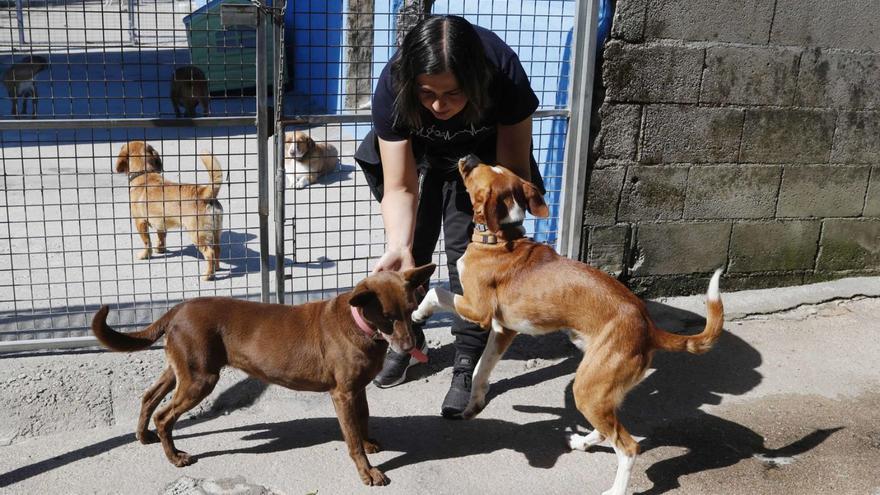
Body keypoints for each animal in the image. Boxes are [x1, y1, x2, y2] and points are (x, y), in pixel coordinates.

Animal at [91, 266, 434, 486]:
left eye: (411, 310)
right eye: (387, 318)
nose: (410, 346)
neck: (359, 325)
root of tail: (177, 309)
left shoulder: (357, 390)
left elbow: (362, 419)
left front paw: (368, 442)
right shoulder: (343, 394)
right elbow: (351, 439)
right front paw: (368, 472)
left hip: (184, 370)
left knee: (150, 396)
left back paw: (143, 435)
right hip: (201, 379)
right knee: (164, 416)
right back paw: (175, 457)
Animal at [114, 142, 223, 282]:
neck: (144, 174)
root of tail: (204, 193)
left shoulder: (140, 222)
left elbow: (146, 242)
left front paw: (145, 254)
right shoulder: (160, 223)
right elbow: (161, 237)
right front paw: (160, 249)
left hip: (197, 234)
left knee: (210, 253)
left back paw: (208, 275)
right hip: (216, 232)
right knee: (217, 249)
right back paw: (217, 268)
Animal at [410, 155, 724, 495]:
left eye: (478, 171)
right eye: (493, 166)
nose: (468, 158)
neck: (499, 238)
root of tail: (648, 328)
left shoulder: (478, 310)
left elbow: (435, 292)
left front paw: (418, 314)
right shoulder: (503, 329)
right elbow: (481, 370)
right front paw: (474, 404)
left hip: (589, 387)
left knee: (628, 446)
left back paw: (616, 489)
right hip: (599, 391)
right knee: (608, 429)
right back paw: (583, 442)